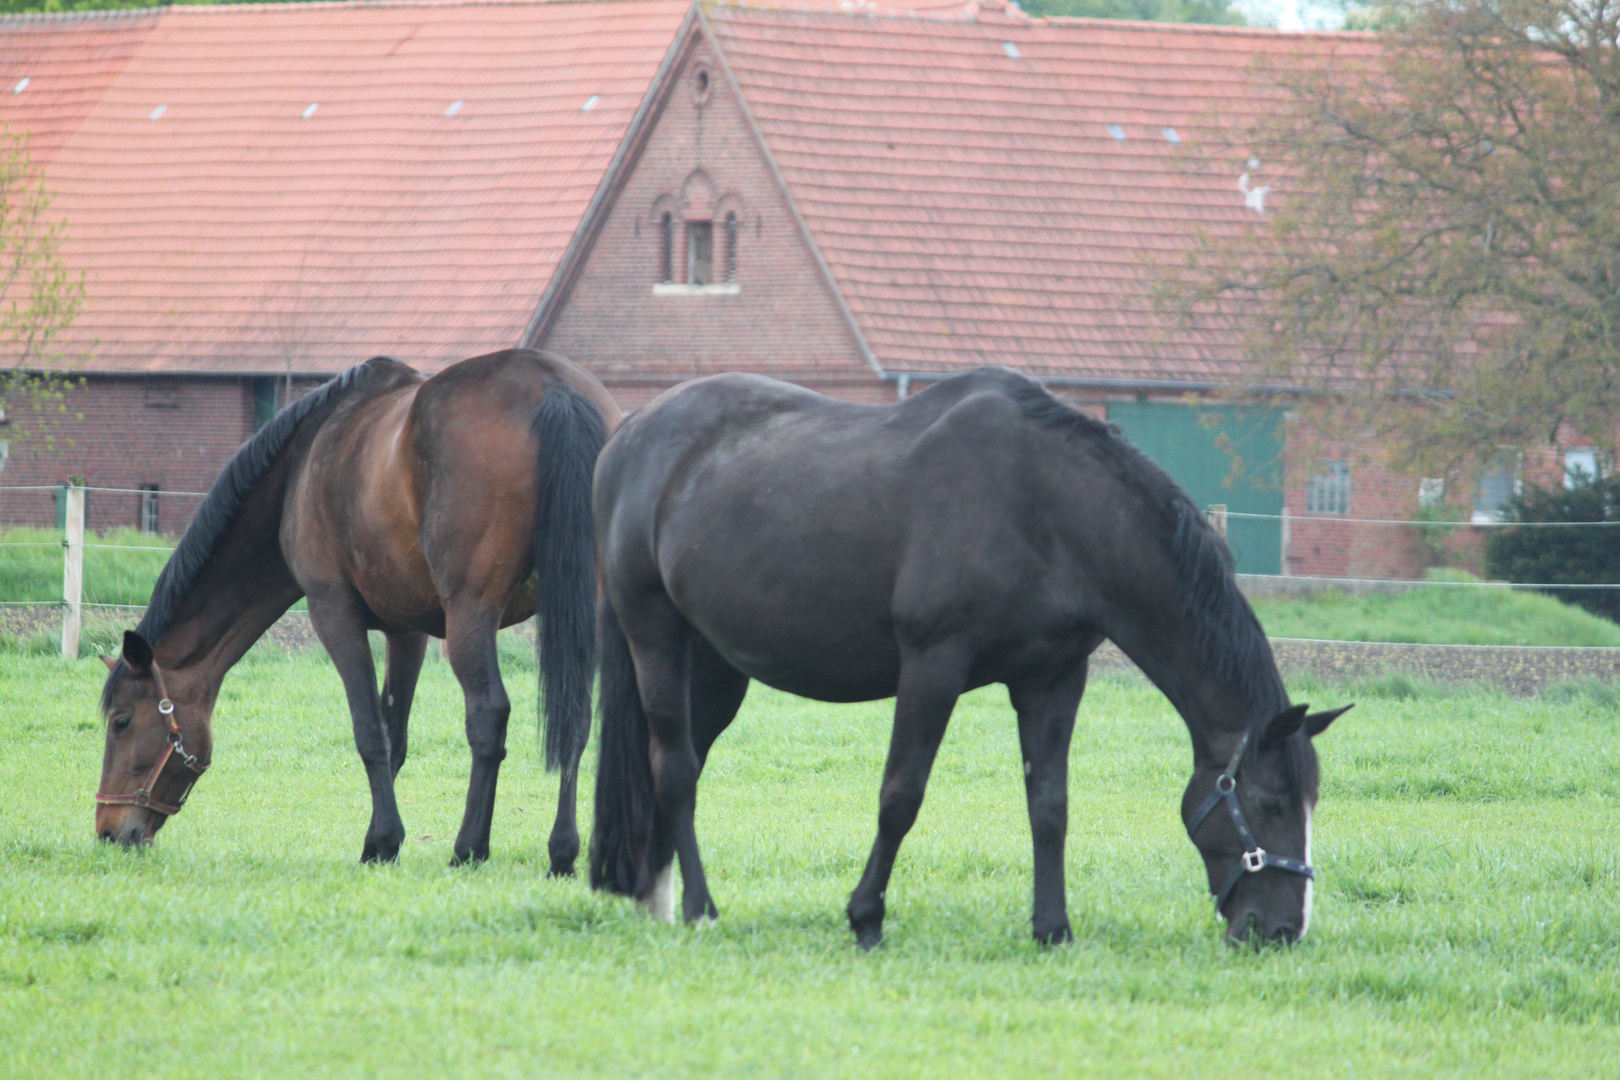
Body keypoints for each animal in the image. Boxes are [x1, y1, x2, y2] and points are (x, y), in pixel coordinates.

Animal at [94, 351, 615, 874]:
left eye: (121, 722)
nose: (109, 832)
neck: (300, 470)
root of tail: (555, 388)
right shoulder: (408, 631)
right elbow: (395, 734)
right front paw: (381, 843)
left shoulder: (333, 613)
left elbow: (369, 732)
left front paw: (383, 841)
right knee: (576, 718)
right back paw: (563, 851)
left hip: (471, 615)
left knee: (488, 715)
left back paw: (469, 847)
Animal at [589, 369, 1347, 945]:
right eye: (1271, 802)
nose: (1283, 930)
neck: (1049, 512)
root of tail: (629, 433)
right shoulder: (934, 664)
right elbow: (901, 795)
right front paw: (866, 917)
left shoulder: (1052, 680)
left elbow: (1049, 805)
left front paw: (1052, 928)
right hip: (654, 634)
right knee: (675, 768)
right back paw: (698, 908)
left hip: (718, 665)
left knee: (683, 766)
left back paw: (656, 897)